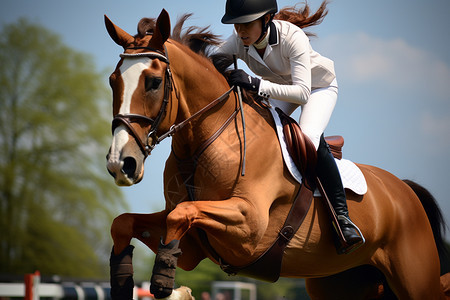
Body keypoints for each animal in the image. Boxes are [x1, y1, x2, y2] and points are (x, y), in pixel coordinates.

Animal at [104, 9, 446, 300]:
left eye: (153, 82)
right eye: (112, 81)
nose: (121, 164)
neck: (206, 140)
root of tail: (404, 189)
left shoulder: (248, 228)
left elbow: (181, 214)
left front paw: (163, 280)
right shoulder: (193, 245)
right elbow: (124, 222)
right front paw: (122, 284)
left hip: (415, 280)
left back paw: (348, 230)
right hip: (338, 283)